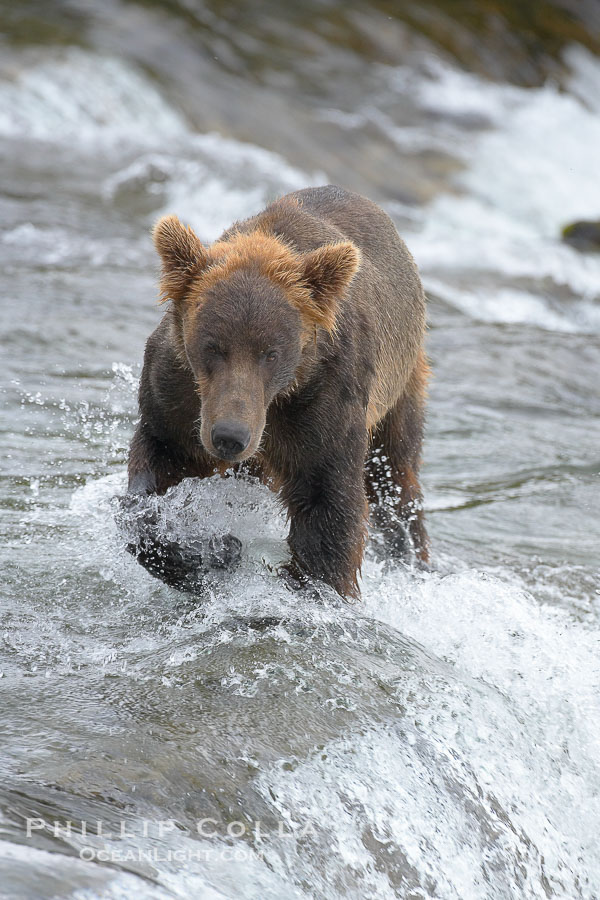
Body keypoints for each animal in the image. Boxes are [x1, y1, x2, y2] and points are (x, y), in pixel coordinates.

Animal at [123, 185, 429, 600]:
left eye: (270, 353)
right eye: (213, 346)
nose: (230, 436)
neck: (276, 399)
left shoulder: (323, 402)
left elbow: (328, 505)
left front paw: (312, 586)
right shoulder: (179, 395)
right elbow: (157, 465)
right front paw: (211, 552)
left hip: (399, 387)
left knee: (395, 481)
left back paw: (412, 558)